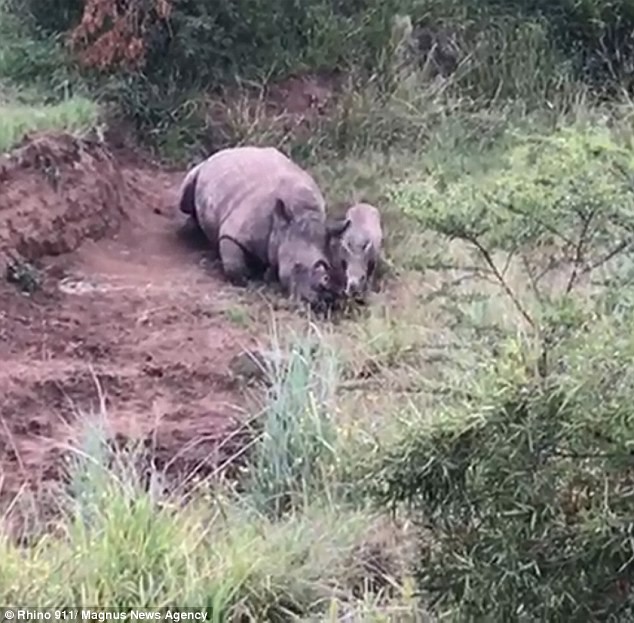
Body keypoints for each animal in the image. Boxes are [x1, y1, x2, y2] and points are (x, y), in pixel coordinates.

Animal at [175, 147, 348, 312]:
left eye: (328, 265)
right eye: (297, 266)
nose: (323, 301)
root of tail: (230, 150)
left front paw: (268, 275)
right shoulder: (233, 234)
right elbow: (235, 266)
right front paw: (252, 281)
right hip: (202, 169)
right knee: (185, 200)